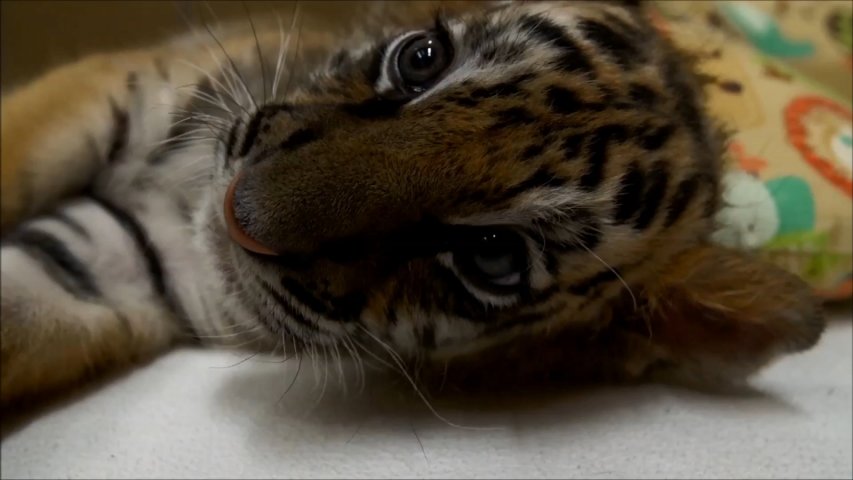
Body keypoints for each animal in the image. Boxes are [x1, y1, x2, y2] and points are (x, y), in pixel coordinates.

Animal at [0, 0, 826, 408]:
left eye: (492, 256)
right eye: (420, 59)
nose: (238, 212)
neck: (182, 209)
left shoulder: (114, 270)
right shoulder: (117, 84)